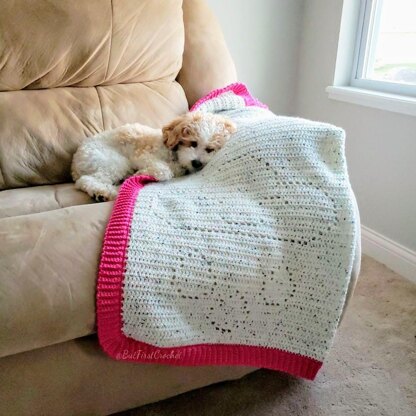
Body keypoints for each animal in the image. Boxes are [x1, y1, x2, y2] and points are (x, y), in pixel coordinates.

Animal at [70, 111, 236, 201]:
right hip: (114, 162)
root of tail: (75, 161)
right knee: (86, 181)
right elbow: (164, 171)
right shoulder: (142, 156)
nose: (197, 163)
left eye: (210, 149)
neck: (174, 156)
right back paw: (104, 193)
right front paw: (140, 174)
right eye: (193, 143)